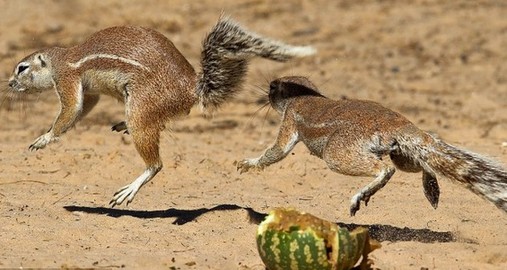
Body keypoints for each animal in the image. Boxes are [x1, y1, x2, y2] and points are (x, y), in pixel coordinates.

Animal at [7, 16, 316, 207]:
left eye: (22, 68)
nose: (9, 83)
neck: (61, 59)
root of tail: (192, 88)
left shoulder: (67, 79)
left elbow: (69, 110)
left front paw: (45, 138)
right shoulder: (89, 91)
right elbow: (83, 108)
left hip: (141, 104)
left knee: (155, 163)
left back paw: (130, 188)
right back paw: (123, 126)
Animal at [237, 75, 507, 215]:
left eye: (273, 86)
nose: (266, 92)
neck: (305, 95)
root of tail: (399, 125)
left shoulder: (291, 118)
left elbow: (278, 151)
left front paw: (248, 163)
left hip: (339, 151)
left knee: (385, 169)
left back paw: (362, 194)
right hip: (402, 152)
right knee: (421, 164)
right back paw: (431, 188)